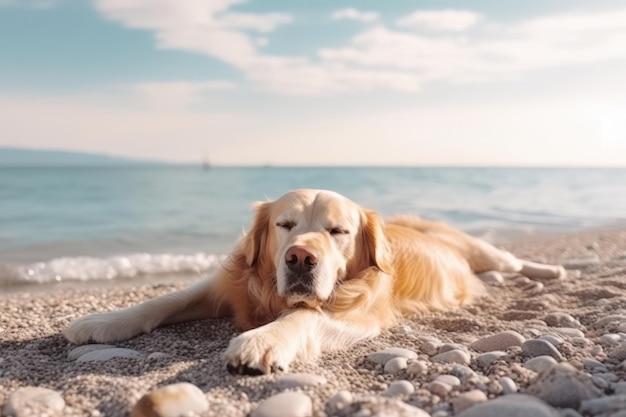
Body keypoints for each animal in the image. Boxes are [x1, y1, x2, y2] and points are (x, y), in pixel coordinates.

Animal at [64, 188, 564, 374]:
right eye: (285, 224)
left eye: (337, 231)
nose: (300, 258)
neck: (270, 295)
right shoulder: (225, 285)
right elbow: (166, 299)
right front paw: (102, 320)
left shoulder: (357, 314)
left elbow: (302, 317)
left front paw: (263, 340)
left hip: (480, 249)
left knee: (512, 259)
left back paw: (554, 270)